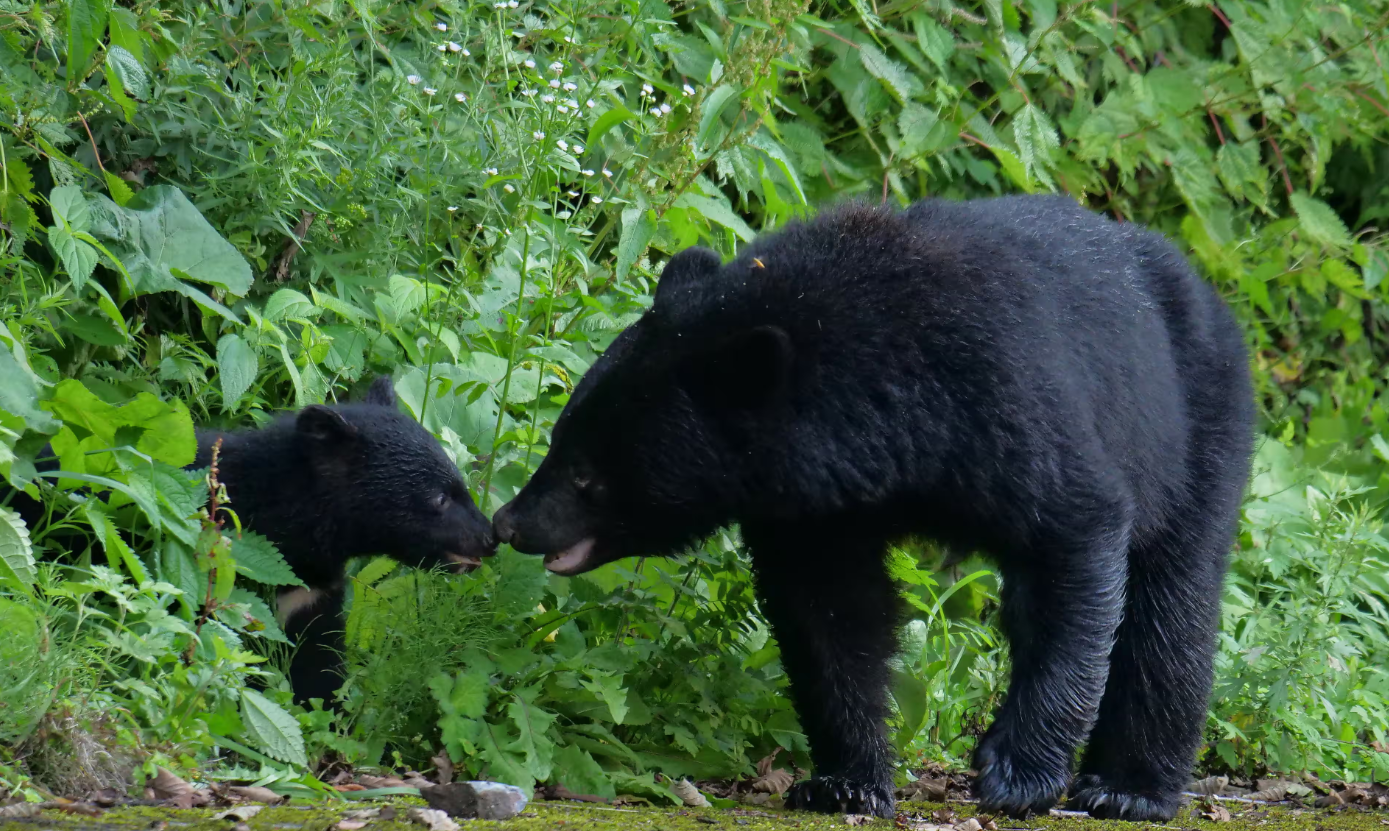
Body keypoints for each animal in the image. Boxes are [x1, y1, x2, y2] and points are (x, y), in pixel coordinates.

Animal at [13, 377, 494, 708]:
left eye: (460, 483)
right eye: (437, 498)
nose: (490, 538)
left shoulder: (312, 591)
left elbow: (317, 660)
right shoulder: (222, 574)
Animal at [491, 197, 1261, 828]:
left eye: (587, 475)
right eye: (559, 436)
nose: (508, 522)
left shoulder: (1010, 398)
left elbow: (1071, 546)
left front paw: (1017, 773)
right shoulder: (816, 506)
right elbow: (832, 611)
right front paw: (844, 781)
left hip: (1196, 424)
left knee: (1170, 605)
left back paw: (1129, 788)